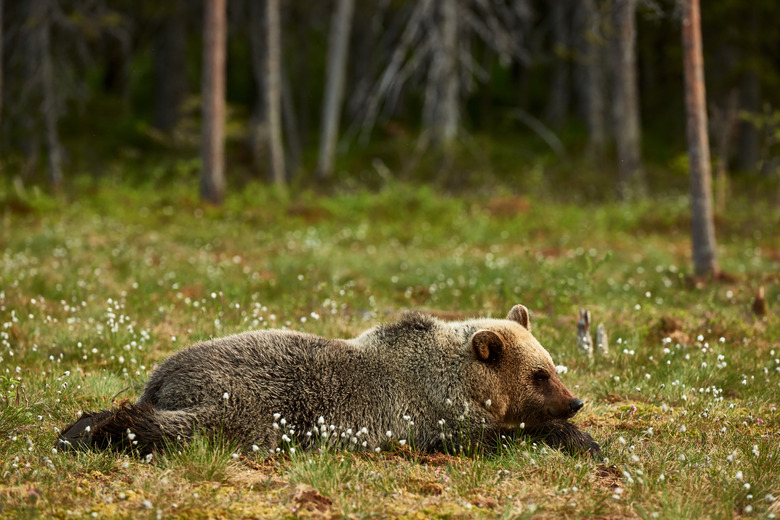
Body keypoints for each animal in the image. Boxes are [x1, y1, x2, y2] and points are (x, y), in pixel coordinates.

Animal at [61, 302, 600, 458]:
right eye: (539, 375)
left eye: (552, 366)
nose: (574, 402)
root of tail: (162, 375)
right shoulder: (429, 417)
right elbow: (494, 438)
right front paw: (577, 438)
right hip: (246, 401)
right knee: (196, 428)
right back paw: (111, 428)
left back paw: (78, 427)